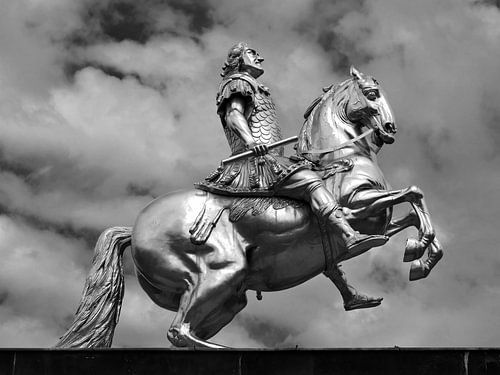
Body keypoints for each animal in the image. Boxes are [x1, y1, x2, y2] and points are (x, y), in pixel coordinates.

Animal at [56, 67, 444, 350]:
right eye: (372, 93)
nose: (390, 129)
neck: (341, 157)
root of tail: (135, 227)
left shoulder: (381, 221)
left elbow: (415, 211)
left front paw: (419, 256)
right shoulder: (358, 207)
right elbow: (412, 194)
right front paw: (414, 252)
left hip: (229, 298)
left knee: (186, 332)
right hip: (220, 273)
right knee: (178, 331)